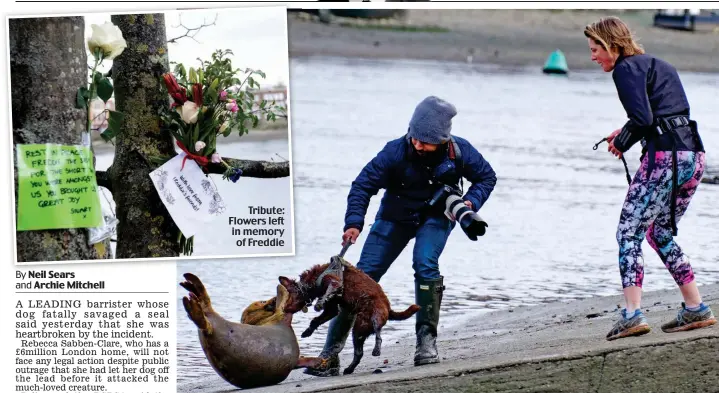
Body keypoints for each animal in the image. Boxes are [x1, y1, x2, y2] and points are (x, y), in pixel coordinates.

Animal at [278, 256, 420, 376]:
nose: (284, 309)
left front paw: (319, 303)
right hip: (359, 329)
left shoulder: (334, 282)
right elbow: (316, 320)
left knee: (378, 334)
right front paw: (307, 331)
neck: (314, 279)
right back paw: (349, 369)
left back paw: (376, 349)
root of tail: (389, 309)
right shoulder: (332, 309)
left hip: (374, 316)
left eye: (288, 295)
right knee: (359, 352)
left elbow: (329, 291)